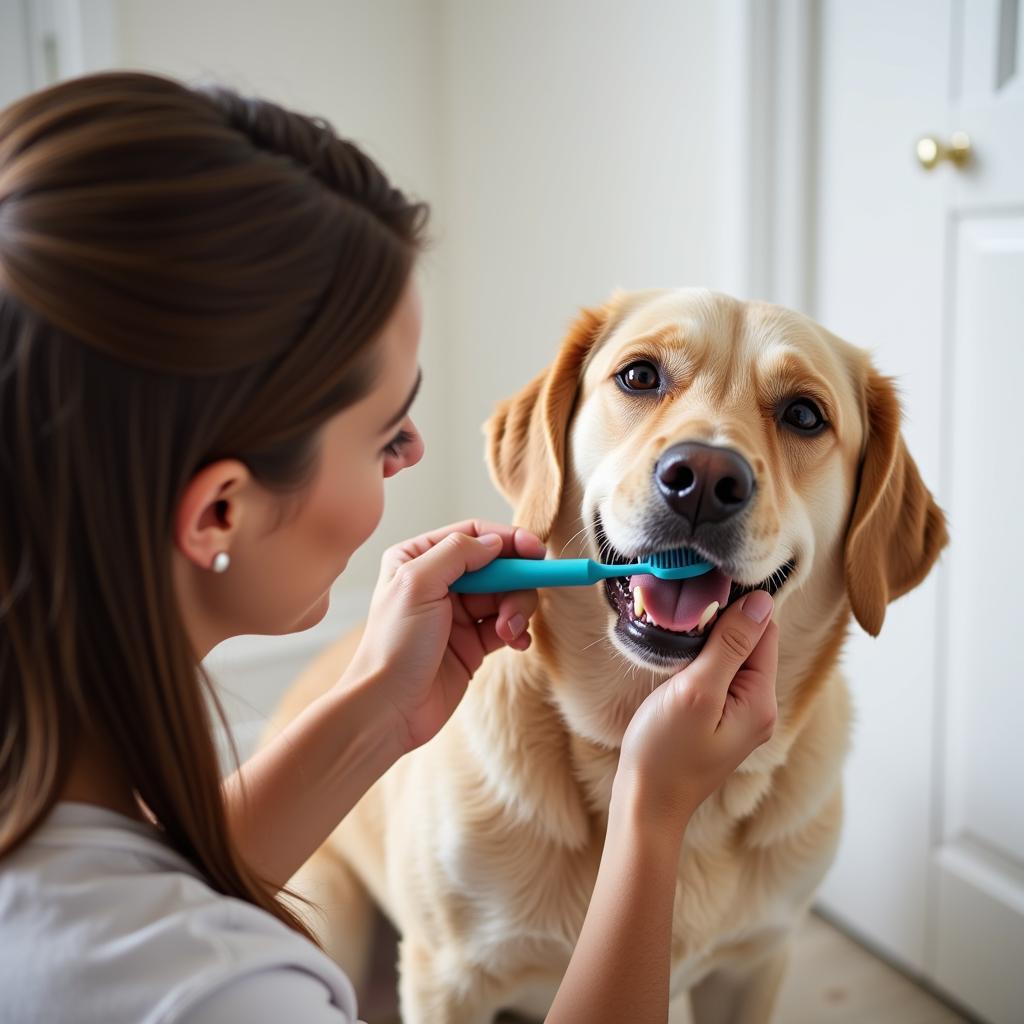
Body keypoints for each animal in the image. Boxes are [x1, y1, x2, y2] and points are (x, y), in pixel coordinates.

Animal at [264, 288, 942, 1024]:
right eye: (640, 375)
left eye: (804, 415)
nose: (703, 479)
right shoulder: (446, 978)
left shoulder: (756, 963)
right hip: (334, 911)